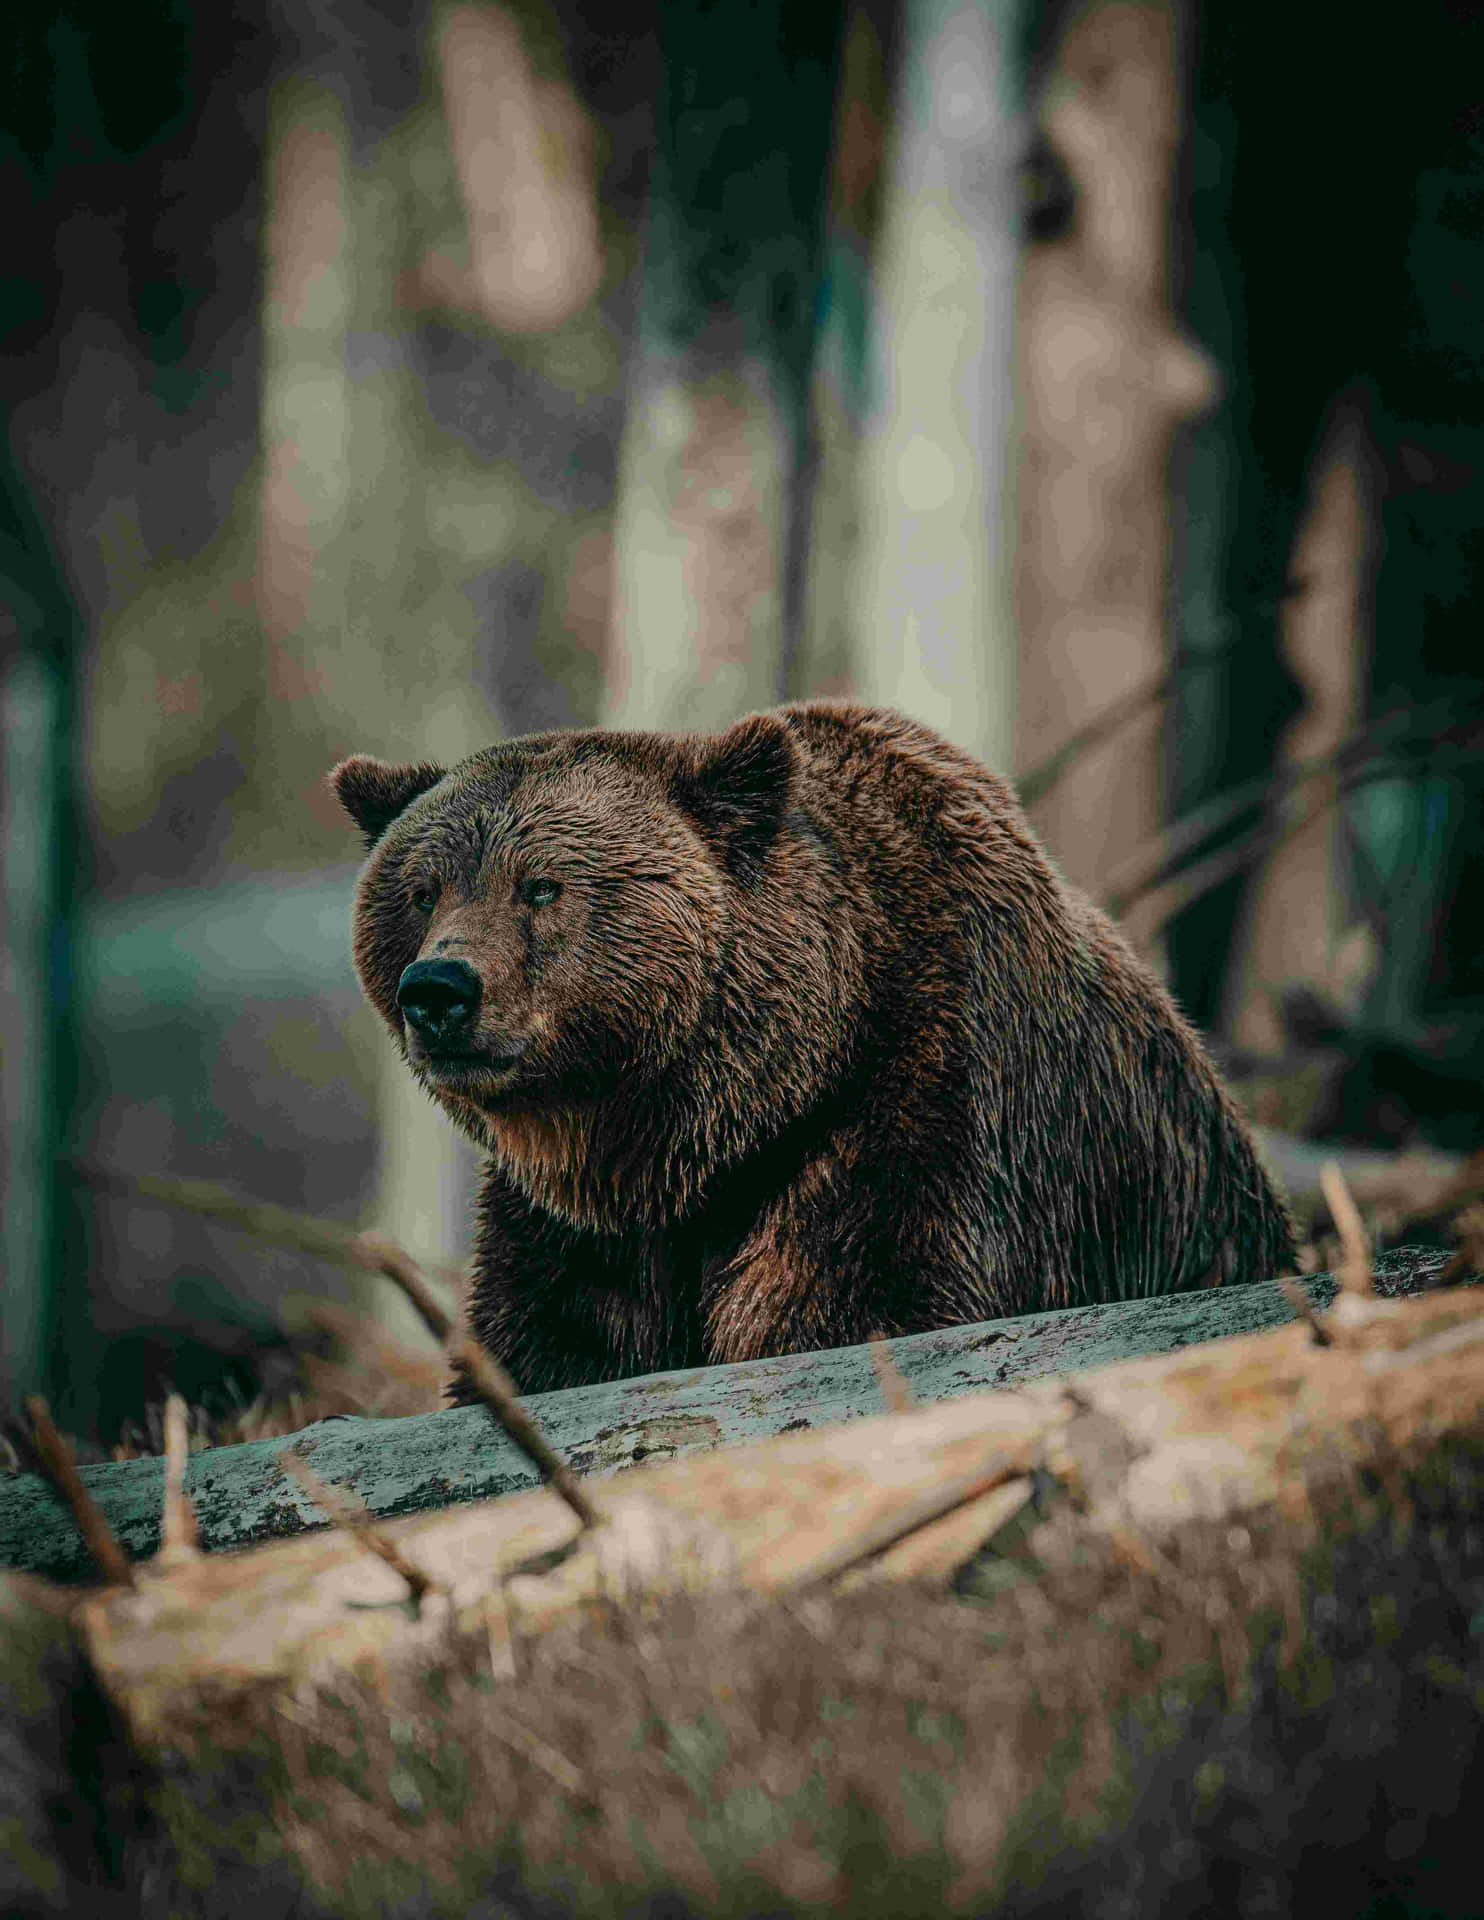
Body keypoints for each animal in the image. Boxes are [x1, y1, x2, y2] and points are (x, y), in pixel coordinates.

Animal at [330, 698, 1290, 1390]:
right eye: (422, 889)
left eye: (542, 886)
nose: (439, 991)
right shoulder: (577, 1231)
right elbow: (544, 1345)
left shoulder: (930, 1111)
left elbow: (860, 1302)